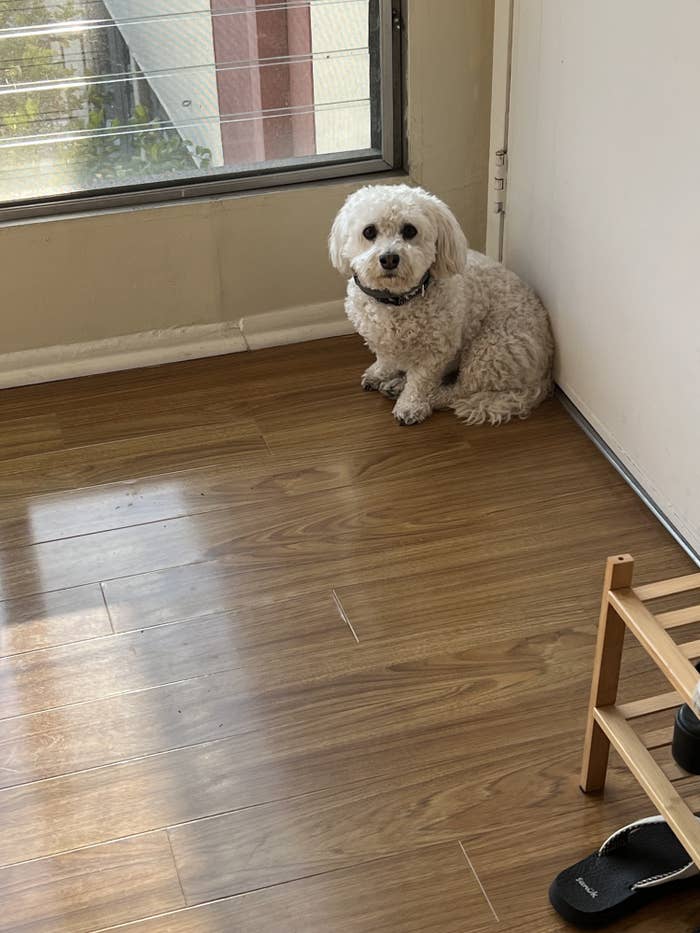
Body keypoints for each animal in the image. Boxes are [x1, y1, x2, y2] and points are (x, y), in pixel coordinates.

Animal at [330, 184, 556, 424]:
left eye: (409, 230)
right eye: (369, 232)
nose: (389, 258)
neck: (396, 301)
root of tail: (545, 374)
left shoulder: (436, 352)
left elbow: (421, 382)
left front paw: (411, 405)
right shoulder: (378, 338)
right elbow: (385, 358)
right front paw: (380, 373)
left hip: (489, 351)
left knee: (461, 389)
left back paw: (429, 396)